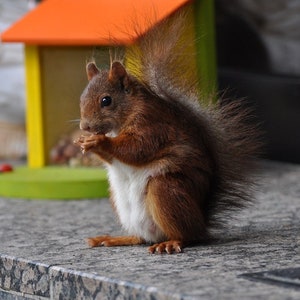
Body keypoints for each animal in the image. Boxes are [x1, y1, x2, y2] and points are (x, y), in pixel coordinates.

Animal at [74, 12, 260, 255]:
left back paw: (172, 242)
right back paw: (114, 238)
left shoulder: (153, 126)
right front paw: (84, 142)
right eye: (81, 98)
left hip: (165, 191)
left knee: (186, 235)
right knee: (141, 238)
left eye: (106, 100)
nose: (85, 126)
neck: (128, 113)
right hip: (119, 202)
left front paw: (99, 141)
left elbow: (137, 148)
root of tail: (201, 222)